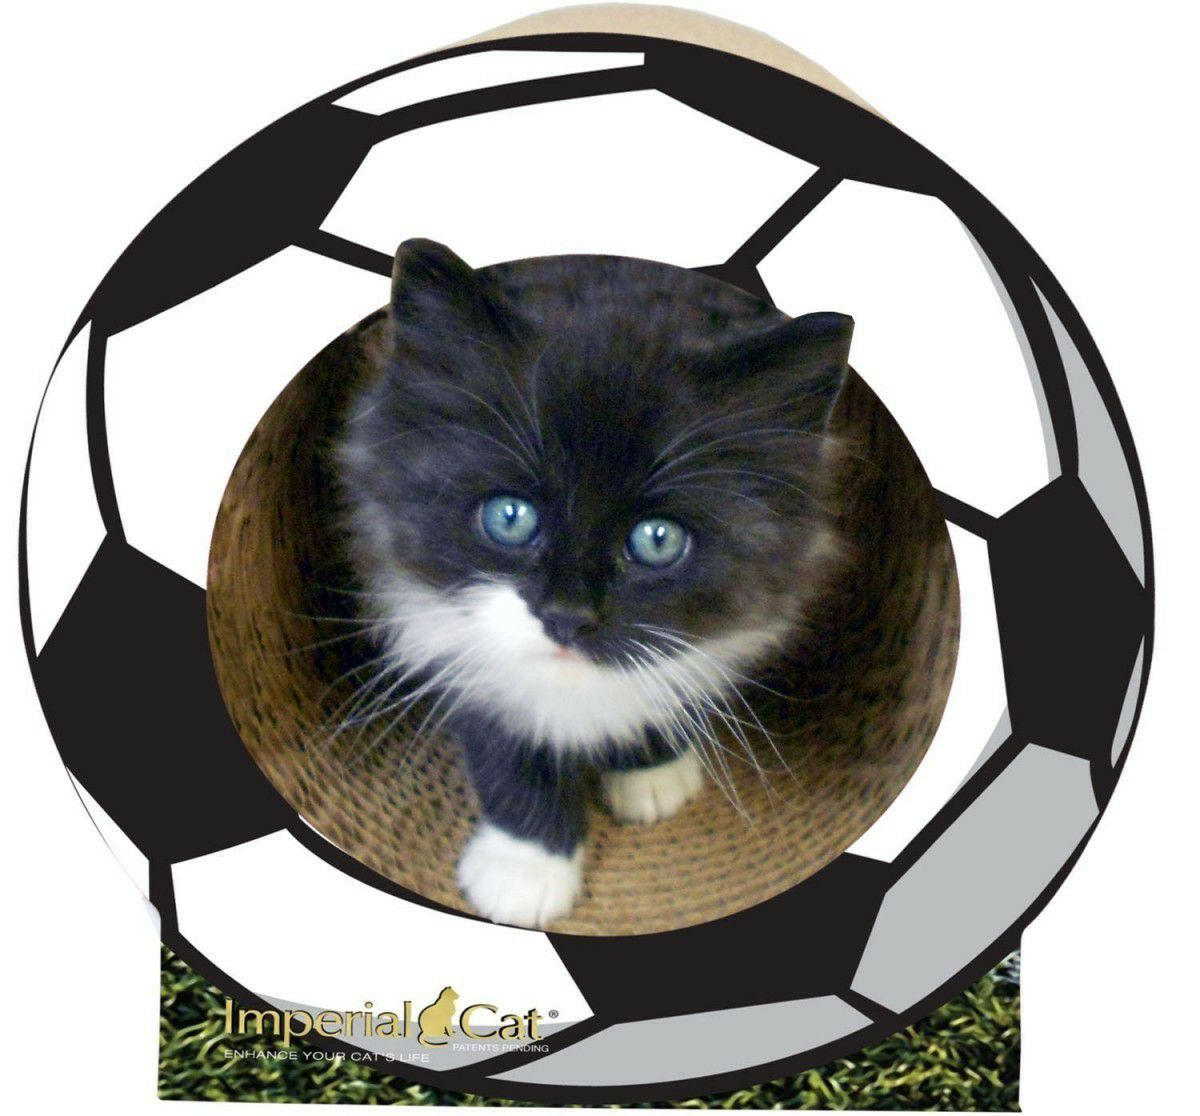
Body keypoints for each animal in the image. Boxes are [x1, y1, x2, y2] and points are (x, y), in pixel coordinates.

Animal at [333, 239, 851, 929]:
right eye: (509, 517)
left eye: (657, 540)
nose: (567, 616)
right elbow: (504, 736)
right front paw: (525, 868)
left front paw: (651, 769)